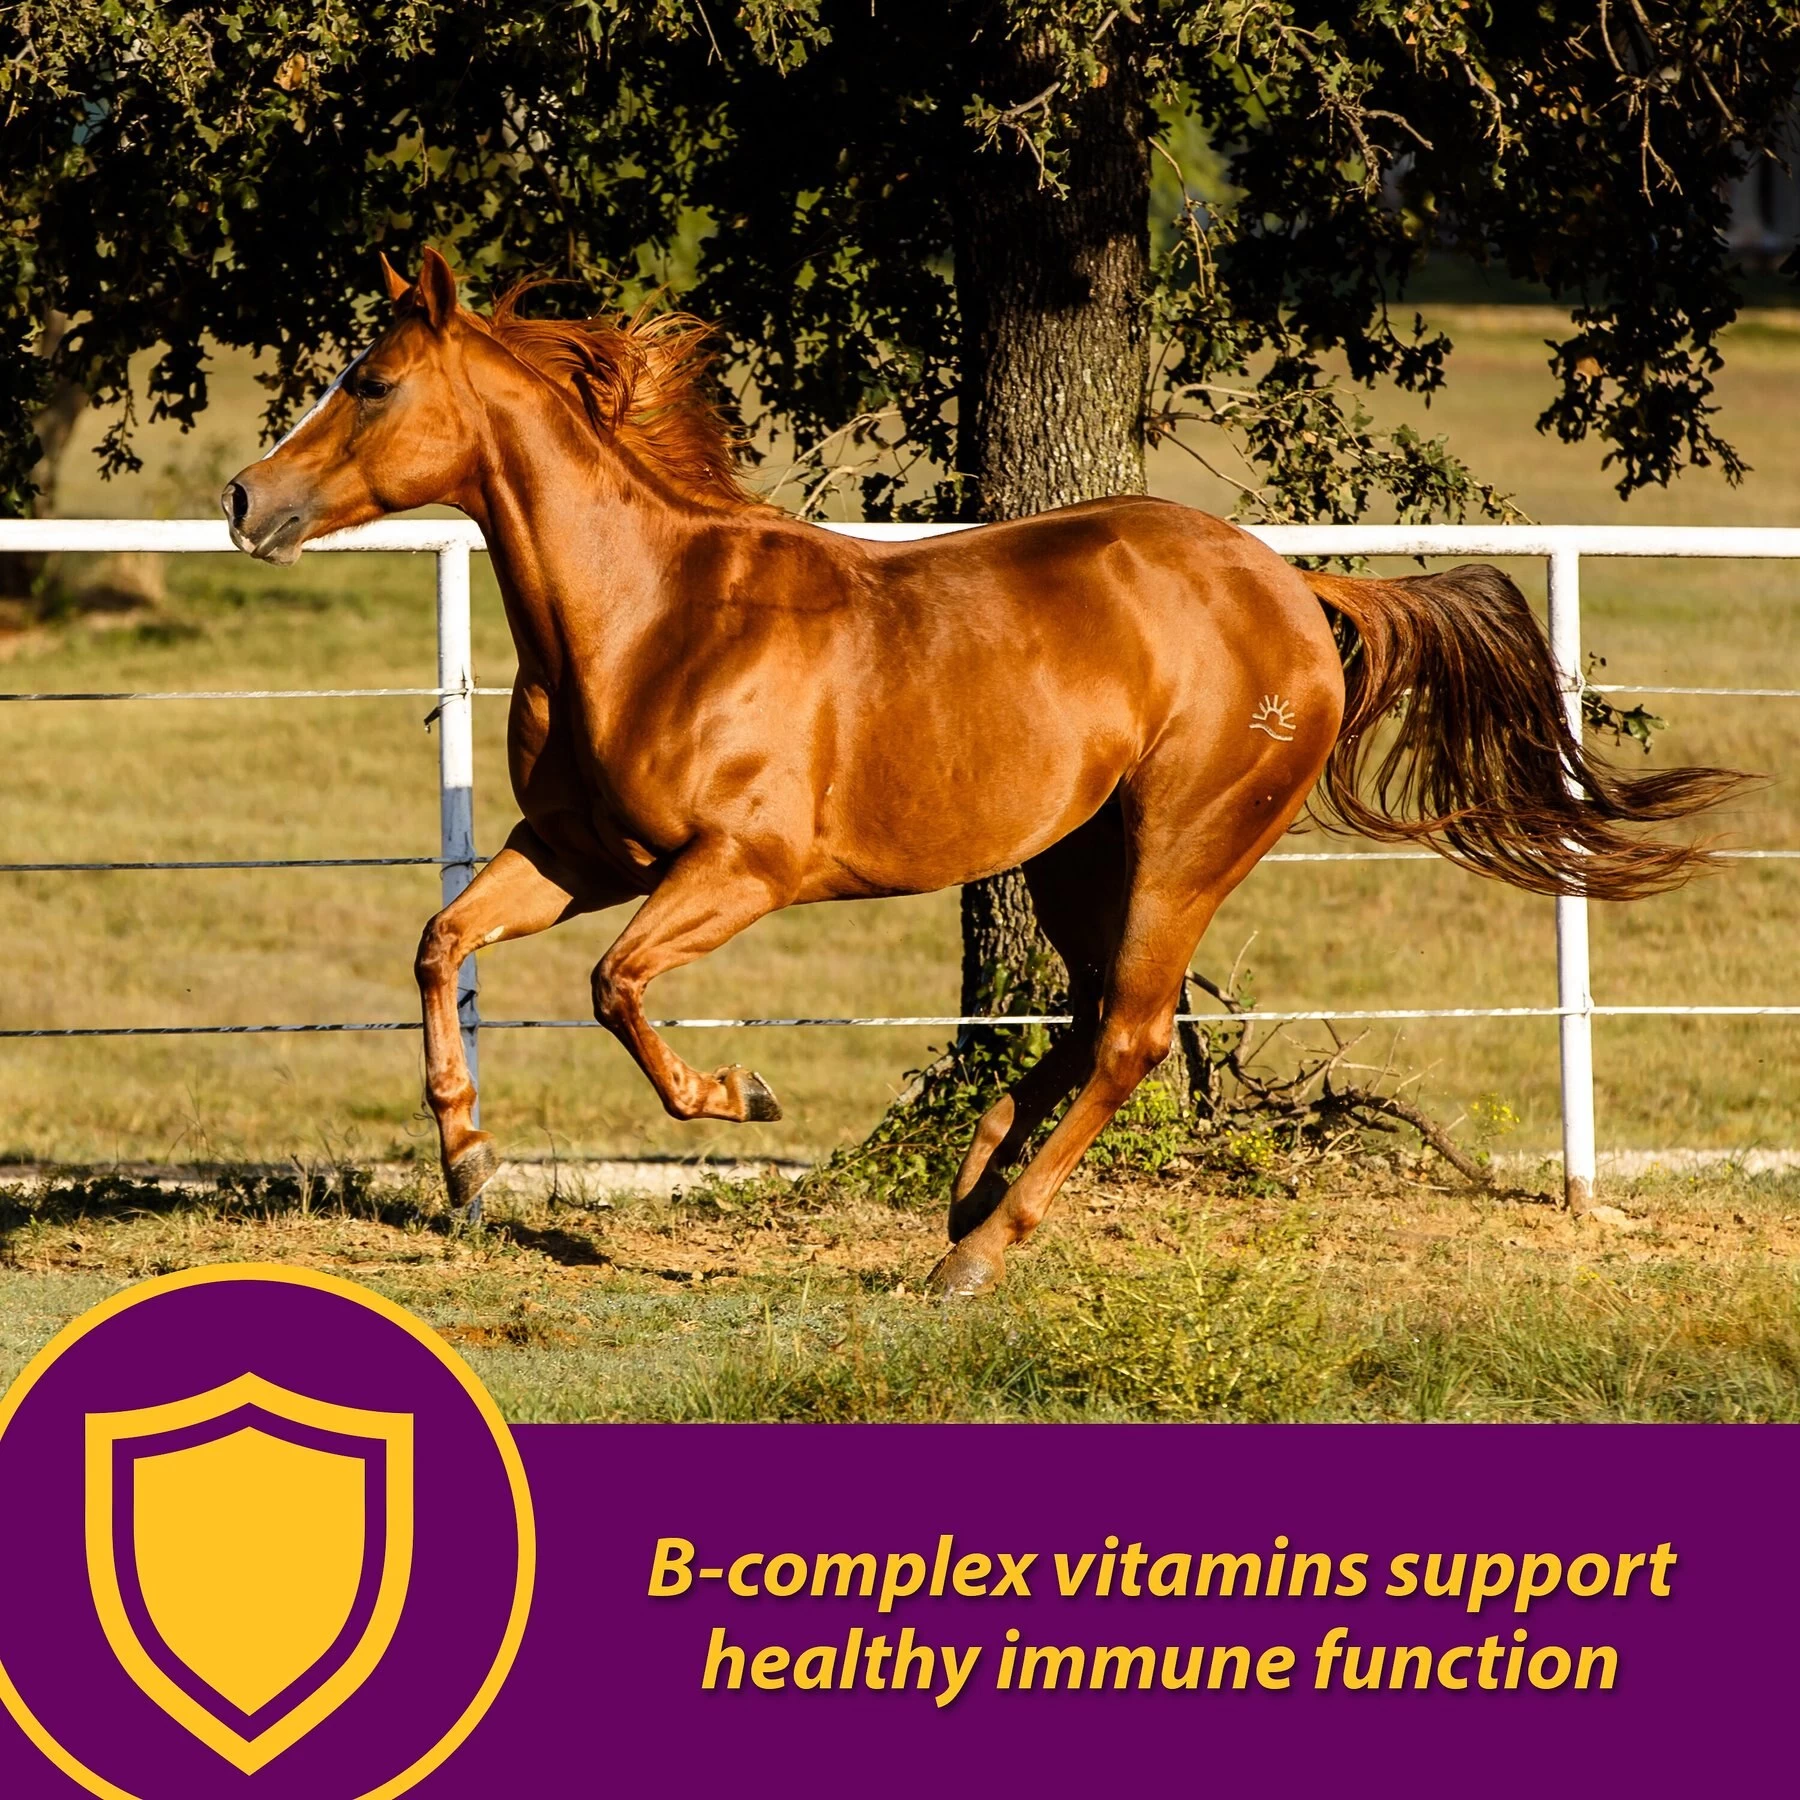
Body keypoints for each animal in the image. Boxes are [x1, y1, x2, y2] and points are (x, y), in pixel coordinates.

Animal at [221, 248, 1745, 1297]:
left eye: (371, 382)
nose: (245, 500)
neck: (656, 618)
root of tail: (1296, 591)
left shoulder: (742, 870)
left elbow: (616, 988)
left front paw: (738, 1097)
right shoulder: (581, 854)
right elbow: (442, 942)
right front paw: (468, 1165)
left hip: (1185, 841)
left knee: (1131, 1033)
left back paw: (976, 1250)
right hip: (1078, 853)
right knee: (1089, 1014)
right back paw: (966, 1190)